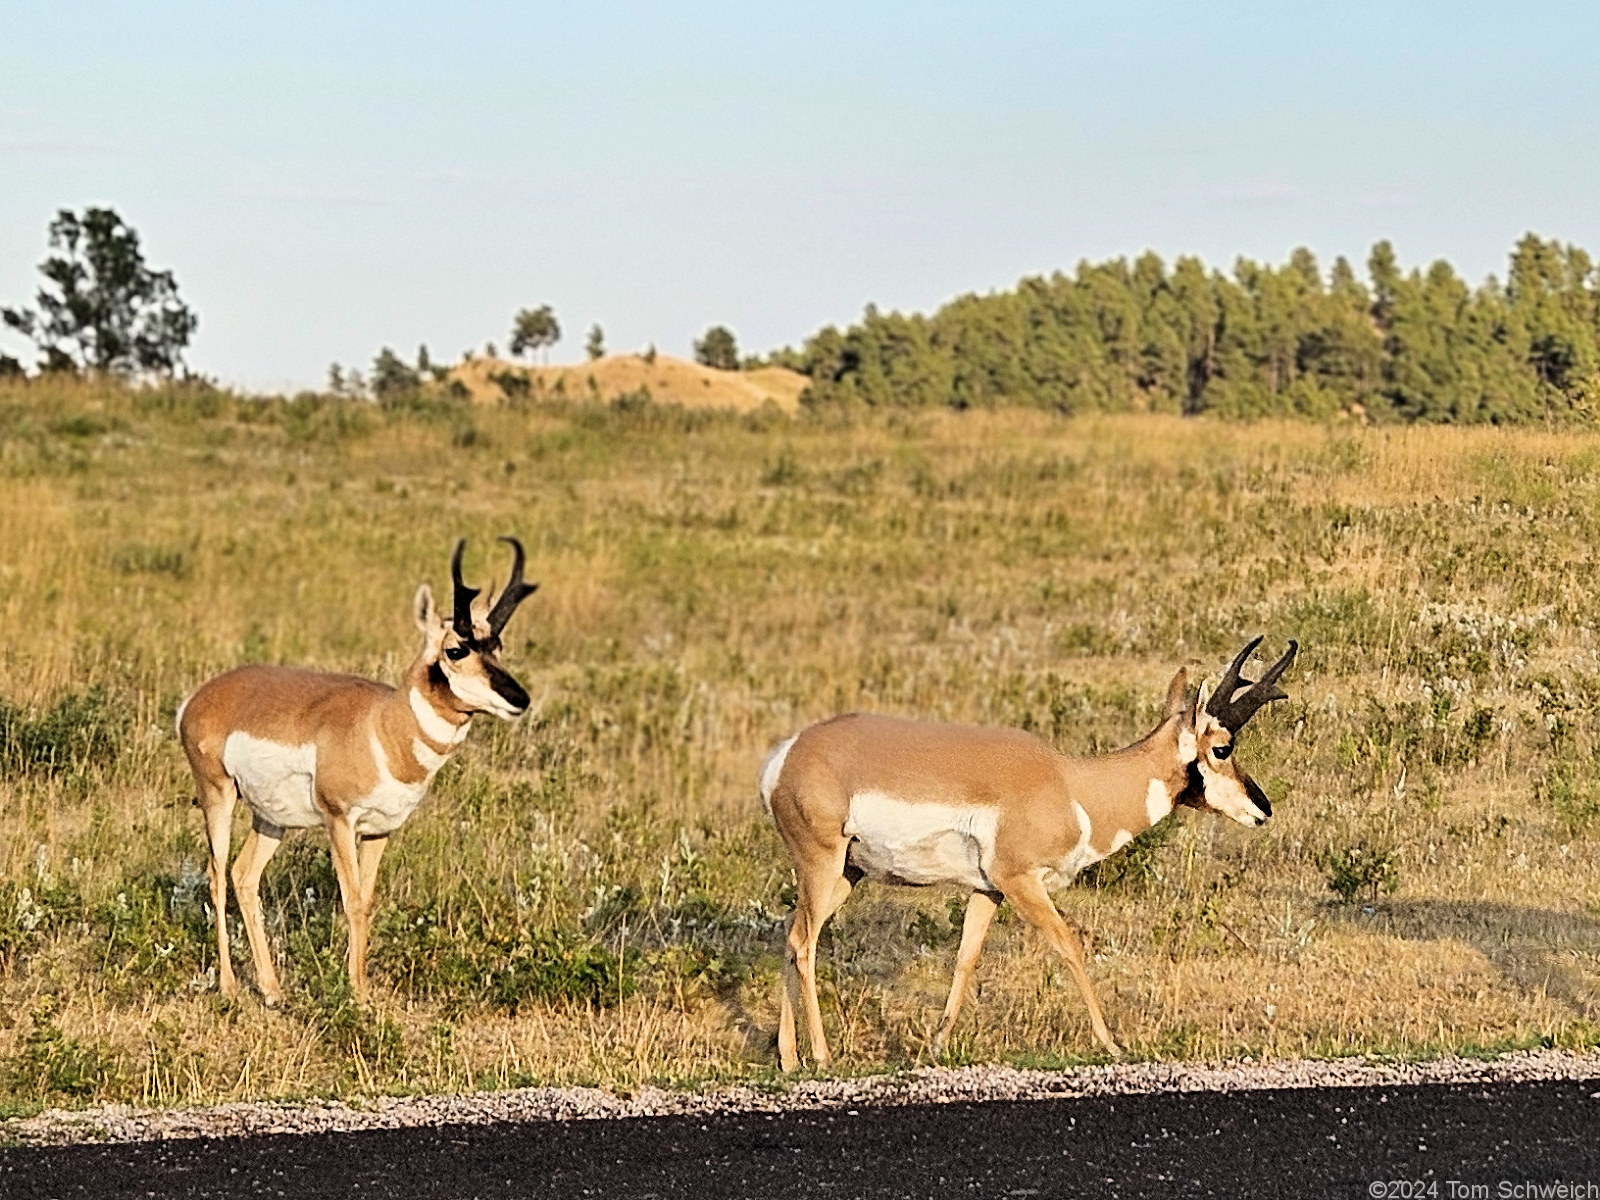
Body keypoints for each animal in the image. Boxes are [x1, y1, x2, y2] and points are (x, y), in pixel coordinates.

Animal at [175, 540, 537, 998]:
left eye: (498, 647)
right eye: (456, 649)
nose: (519, 699)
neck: (382, 725)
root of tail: (201, 697)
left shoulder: (381, 830)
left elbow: (366, 901)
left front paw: (362, 988)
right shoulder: (339, 822)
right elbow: (352, 901)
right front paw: (355, 994)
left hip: (271, 819)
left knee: (244, 875)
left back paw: (272, 990)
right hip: (217, 797)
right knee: (217, 874)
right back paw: (228, 985)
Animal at [755, 640, 1292, 1068]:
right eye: (1222, 747)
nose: (1263, 808)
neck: (1072, 784)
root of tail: (789, 752)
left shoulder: (987, 890)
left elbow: (966, 957)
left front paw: (937, 1045)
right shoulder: (1021, 883)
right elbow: (1069, 945)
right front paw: (1112, 1044)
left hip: (845, 874)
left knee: (790, 936)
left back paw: (788, 1058)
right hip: (824, 863)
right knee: (803, 943)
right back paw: (822, 1056)